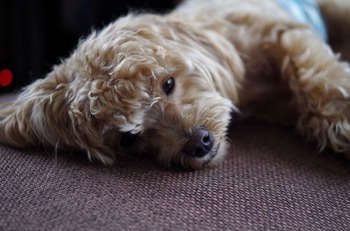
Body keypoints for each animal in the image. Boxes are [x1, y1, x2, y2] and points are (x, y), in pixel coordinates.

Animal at [0, 0, 350, 170]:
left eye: (168, 83)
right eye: (128, 139)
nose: (199, 144)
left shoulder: (282, 30)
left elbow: (314, 72)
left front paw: (341, 118)